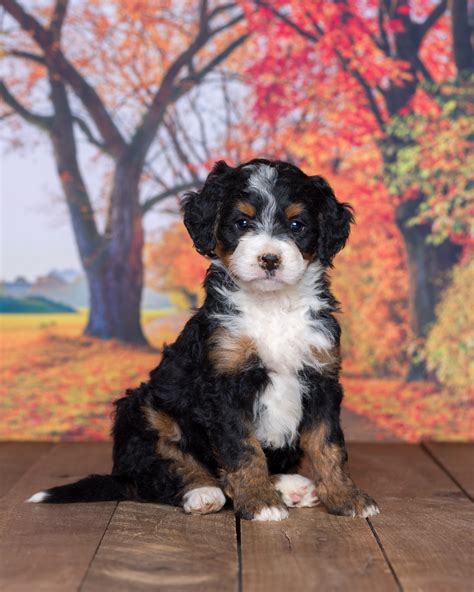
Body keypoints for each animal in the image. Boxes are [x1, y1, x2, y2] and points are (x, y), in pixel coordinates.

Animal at [28, 158, 378, 524]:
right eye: (242, 222)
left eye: (297, 225)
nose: (269, 259)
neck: (272, 307)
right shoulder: (225, 383)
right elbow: (243, 448)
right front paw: (259, 501)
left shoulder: (321, 376)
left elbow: (328, 444)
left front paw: (346, 497)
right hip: (142, 408)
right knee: (158, 471)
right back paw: (202, 491)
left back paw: (289, 486)